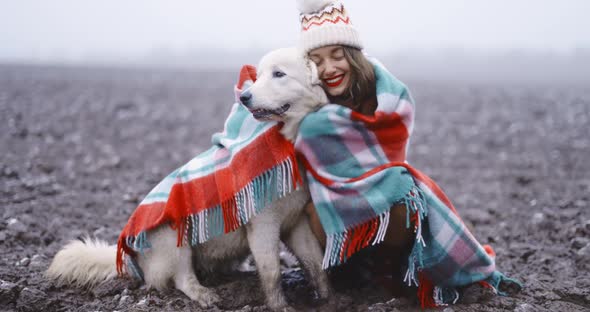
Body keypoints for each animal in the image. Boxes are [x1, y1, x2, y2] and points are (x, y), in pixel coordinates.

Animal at [46, 47, 330, 310]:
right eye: (258, 76)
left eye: (279, 74)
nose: (245, 97)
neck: (288, 144)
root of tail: (131, 261)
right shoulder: (263, 224)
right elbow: (272, 271)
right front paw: (280, 306)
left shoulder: (296, 222)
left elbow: (315, 262)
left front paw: (330, 299)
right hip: (173, 237)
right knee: (182, 278)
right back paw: (205, 294)